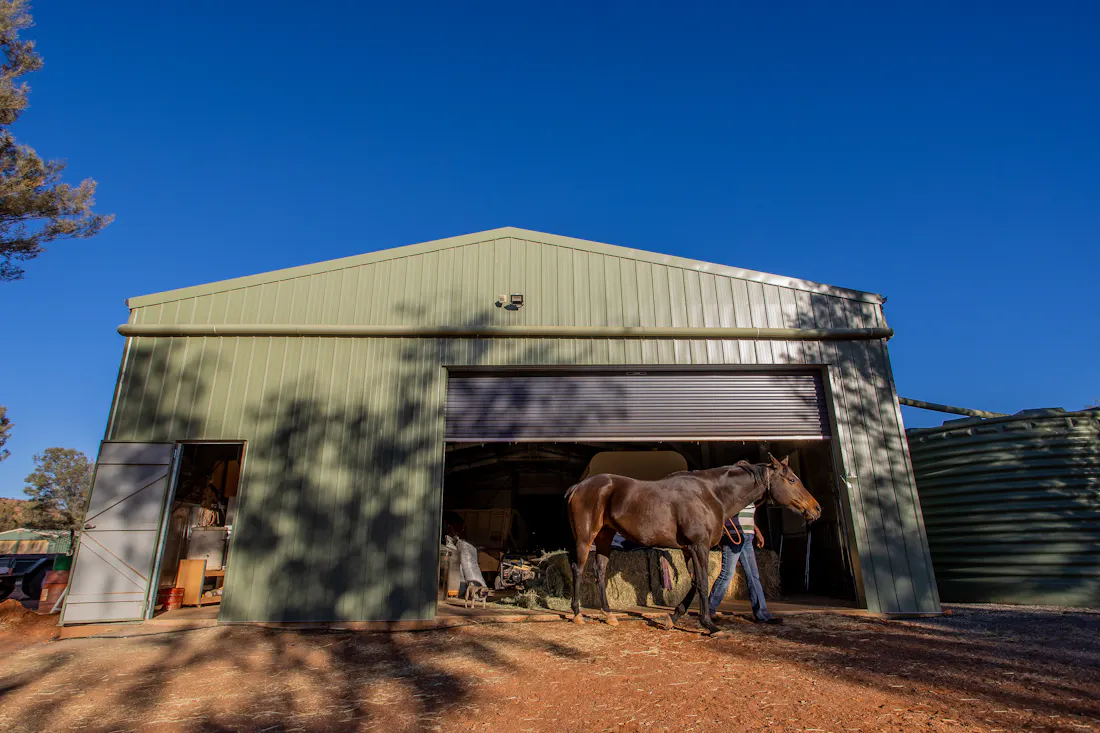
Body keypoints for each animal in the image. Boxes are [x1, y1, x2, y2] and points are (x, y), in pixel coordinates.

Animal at [564, 454, 822, 634]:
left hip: (605, 536)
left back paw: (609, 614)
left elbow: (695, 582)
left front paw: (672, 618)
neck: (710, 494)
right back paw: (577, 613)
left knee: (600, 571)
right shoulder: (699, 546)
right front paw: (709, 624)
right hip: (586, 537)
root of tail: (578, 486)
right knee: (578, 569)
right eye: (792, 480)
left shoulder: (689, 549)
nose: (816, 508)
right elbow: (704, 582)